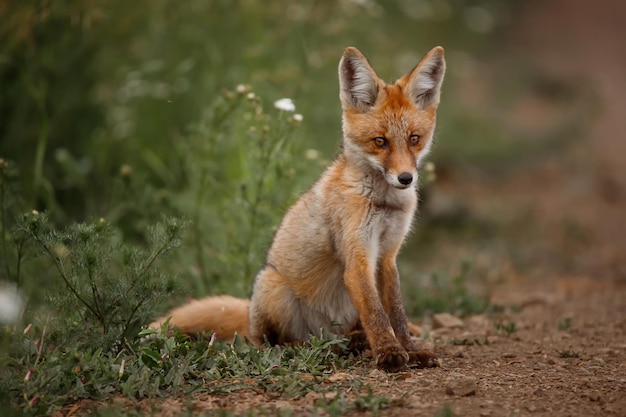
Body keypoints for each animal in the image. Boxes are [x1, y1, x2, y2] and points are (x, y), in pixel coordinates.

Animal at [151, 45, 444, 370]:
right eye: (380, 141)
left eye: (414, 139)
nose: (406, 178)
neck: (383, 203)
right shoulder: (358, 258)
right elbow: (377, 314)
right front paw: (389, 353)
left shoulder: (387, 256)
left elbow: (397, 313)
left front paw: (410, 350)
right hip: (274, 289)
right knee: (271, 343)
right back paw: (319, 346)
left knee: (343, 334)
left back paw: (355, 342)